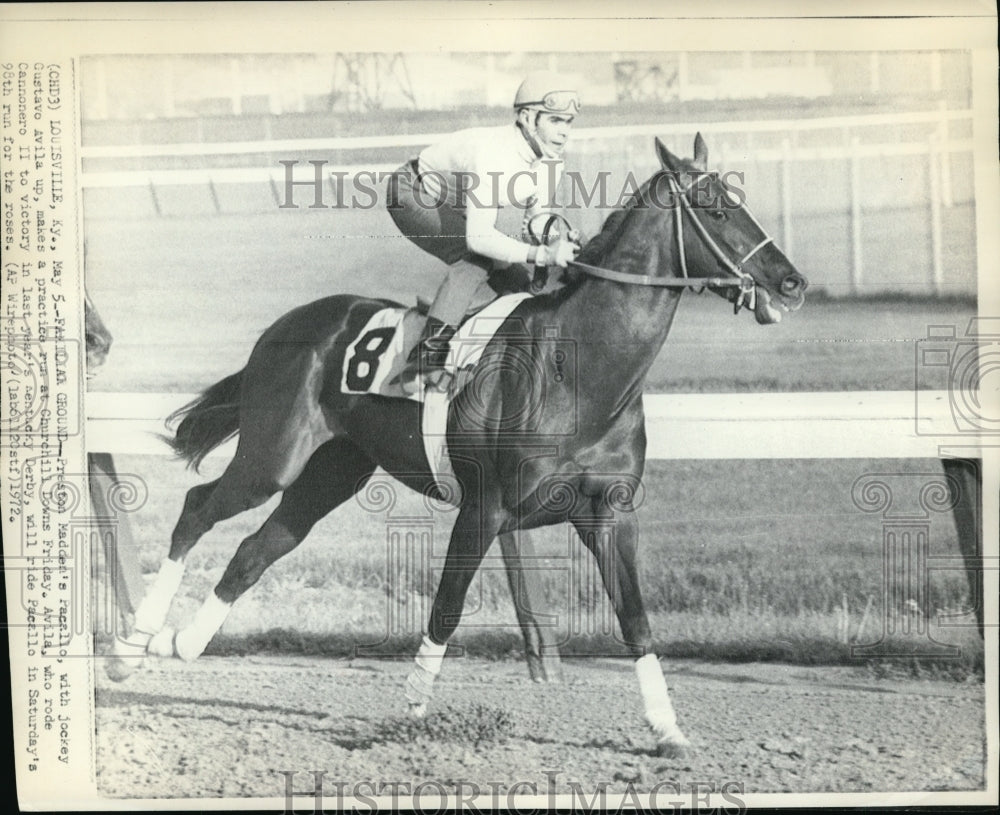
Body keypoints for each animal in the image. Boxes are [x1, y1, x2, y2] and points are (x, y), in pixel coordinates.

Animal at [111, 135, 812, 760]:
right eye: (716, 209)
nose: (791, 282)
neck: (579, 369)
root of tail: (283, 327)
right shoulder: (486, 508)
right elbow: (446, 611)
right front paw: (412, 715)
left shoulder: (608, 512)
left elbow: (636, 620)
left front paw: (667, 731)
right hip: (273, 457)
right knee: (198, 508)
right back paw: (131, 647)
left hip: (332, 471)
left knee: (258, 548)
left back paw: (184, 643)